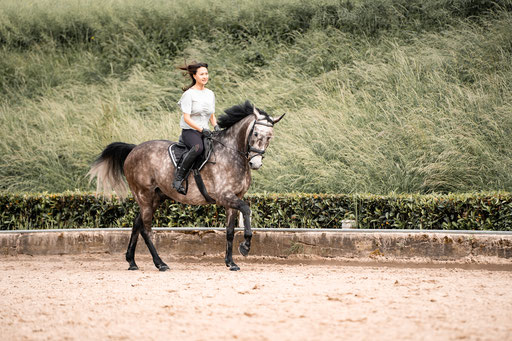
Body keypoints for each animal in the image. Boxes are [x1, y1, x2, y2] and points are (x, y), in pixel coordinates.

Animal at [87, 99, 284, 270]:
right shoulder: (224, 196)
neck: (232, 153)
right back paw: (160, 263)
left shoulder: (234, 198)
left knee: (137, 223)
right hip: (144, 195)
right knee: (146, 229)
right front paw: (245, 246)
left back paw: (132, 262)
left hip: (156, 197)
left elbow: (229, 231)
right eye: (256, 133)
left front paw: (231, 263)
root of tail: (133, 149)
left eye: (270, 137)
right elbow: (247, 210)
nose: (255, 163)